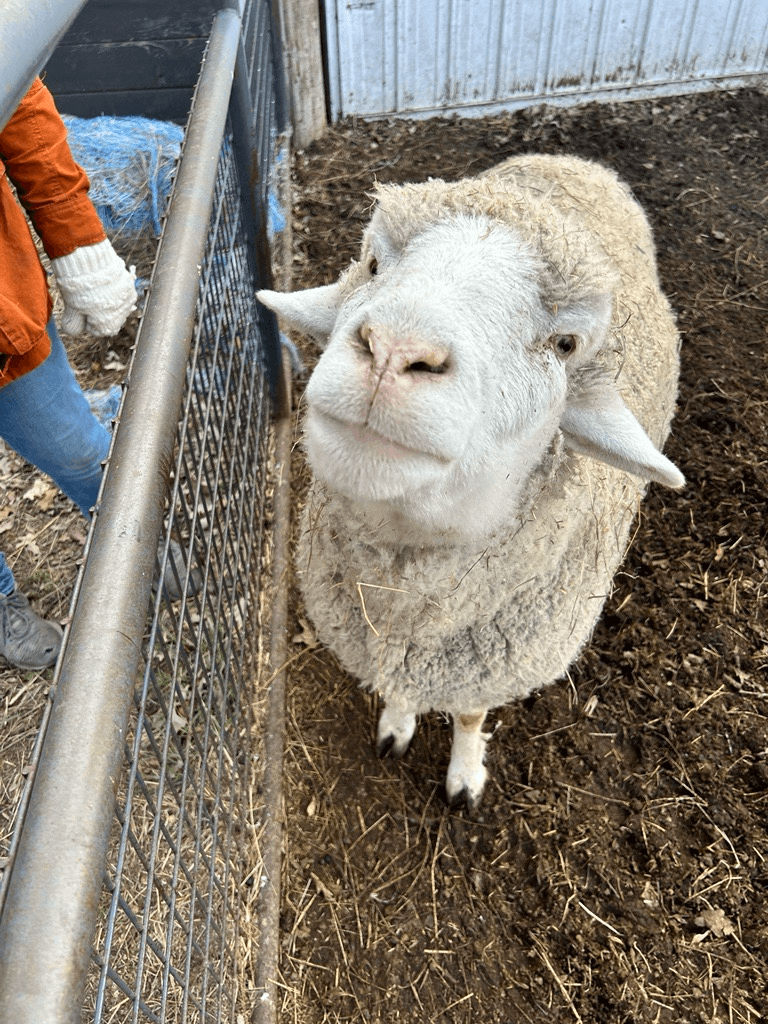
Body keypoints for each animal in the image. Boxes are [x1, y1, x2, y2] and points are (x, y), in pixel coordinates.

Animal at [257, 153, 684, 810]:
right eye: (373, 264)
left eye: (566, 344)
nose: (394, 348)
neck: (404, 611)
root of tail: (575, 161)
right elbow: (401, 693)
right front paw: (397, 724)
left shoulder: (486, 668)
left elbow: (468, 716)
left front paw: (464, 775)